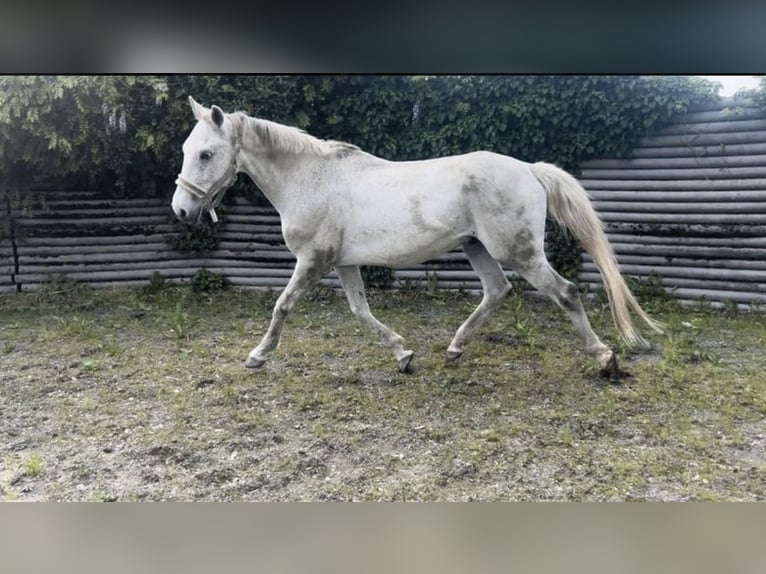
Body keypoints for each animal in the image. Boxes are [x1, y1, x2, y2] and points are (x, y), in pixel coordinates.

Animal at [172, 96, 662, 376]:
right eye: (186, 149)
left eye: (206, 154)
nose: (181, 209)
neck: (312, 179)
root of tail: (528, 169)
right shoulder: (343, 262)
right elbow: (360, 310)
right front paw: (403, 354)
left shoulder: (313, 260)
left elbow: (282, 305)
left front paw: (257, 356)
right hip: (476, 247)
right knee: (497, 290)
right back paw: (455, 349)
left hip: (519, 252)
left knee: (566, 292)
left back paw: (605, 358)